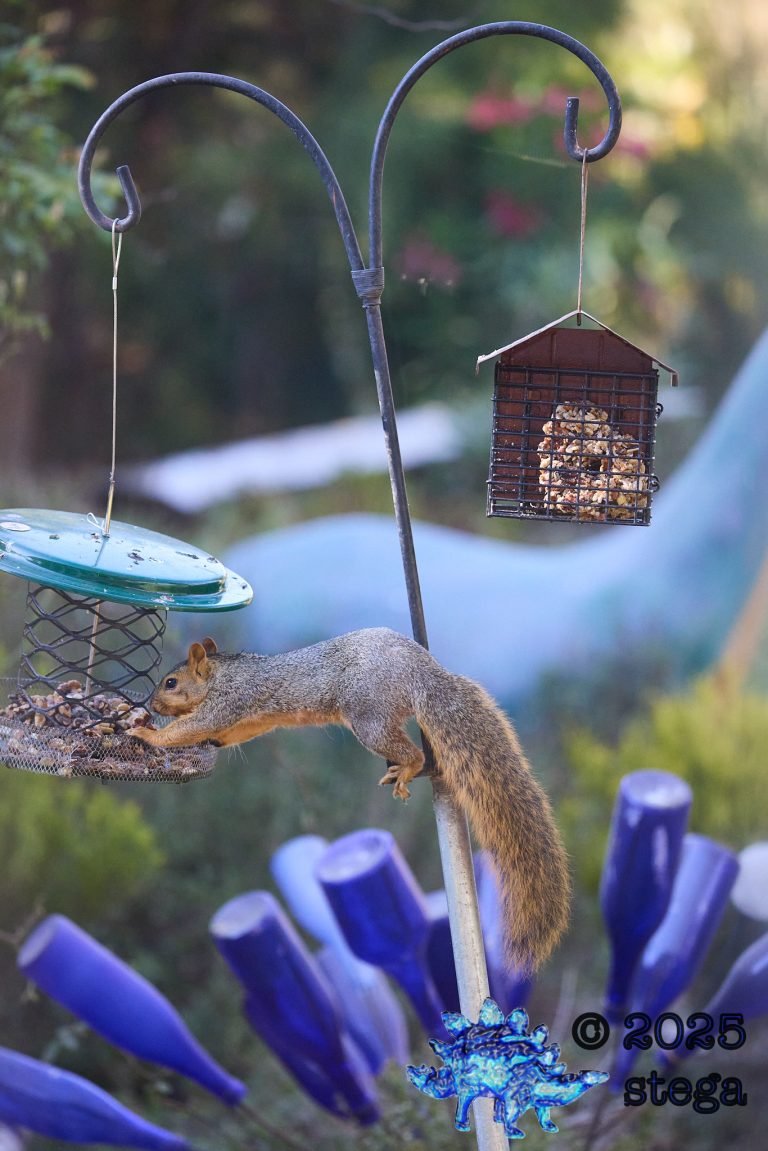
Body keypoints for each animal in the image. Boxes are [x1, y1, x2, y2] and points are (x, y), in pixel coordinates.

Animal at [133, 627, 570, 974]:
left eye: (170, 682)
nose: (151, 706)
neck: (224, 671)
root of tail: (423, 671)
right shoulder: (250, 718)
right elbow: (233, 732)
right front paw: (201, 740)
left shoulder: (230, 700)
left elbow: (194, 725)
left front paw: (146, 734)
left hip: (367, 715)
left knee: (413, 753)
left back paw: (407, 769)